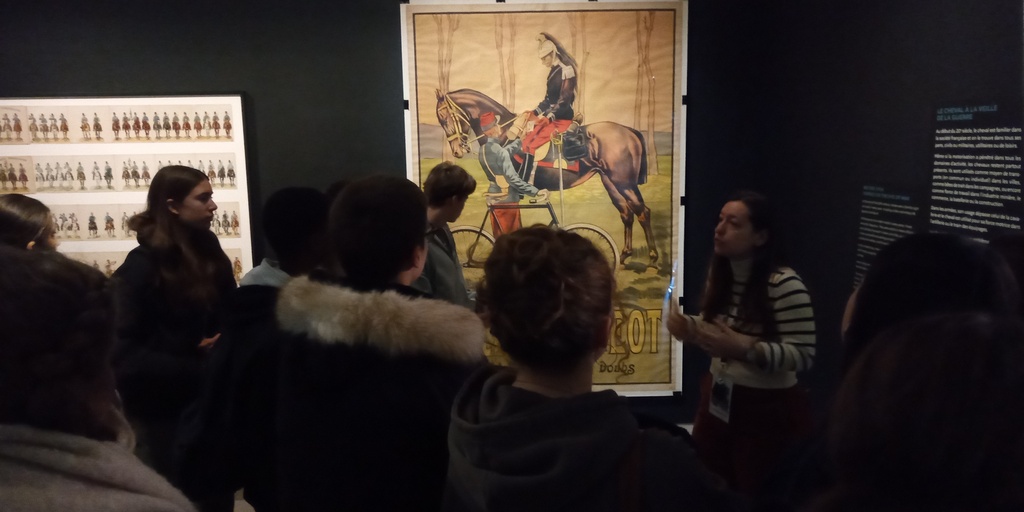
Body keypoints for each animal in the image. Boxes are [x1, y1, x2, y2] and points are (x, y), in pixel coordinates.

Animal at [434, 88, 658, 266]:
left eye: (445, 118)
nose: (457, 150)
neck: (504, 133)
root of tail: (628, 131)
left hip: (624, 183)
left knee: (643, 212)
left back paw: (653, 258)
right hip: (610, 182)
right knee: (626, 213)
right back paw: (625, 254)